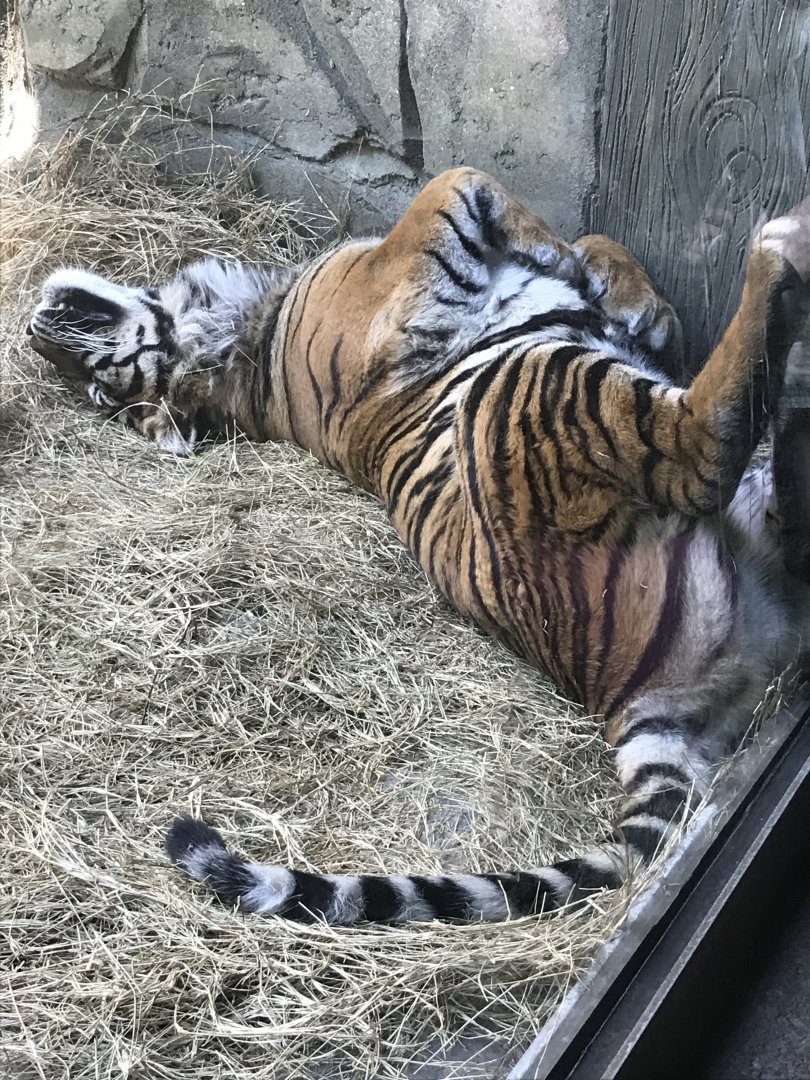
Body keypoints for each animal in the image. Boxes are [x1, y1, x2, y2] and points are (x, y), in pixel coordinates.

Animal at [27, 168, 810, 925]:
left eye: (97, 386)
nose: (35, 330)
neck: (244, 337)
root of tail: (632, 705)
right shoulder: (391, 289)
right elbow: (447, 185)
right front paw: (560, 257)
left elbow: (589, 238)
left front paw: (625, 296)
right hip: (524, 386)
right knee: (698, 447)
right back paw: (778, 248)